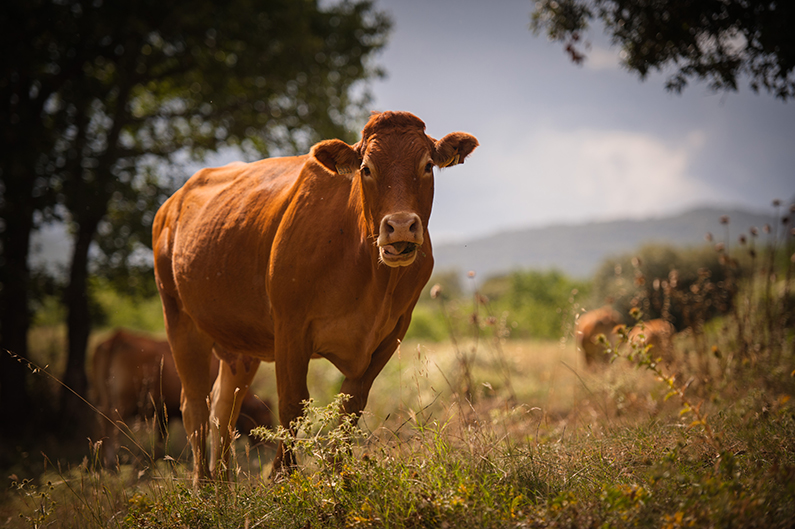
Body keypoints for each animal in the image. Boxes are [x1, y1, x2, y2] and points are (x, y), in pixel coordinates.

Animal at [91, 328, 274, 468]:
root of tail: (118, 336)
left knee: (102, 422)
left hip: (104, 399)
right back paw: (110, 461)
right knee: (111, 424)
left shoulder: (163, 413)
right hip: (123, 403)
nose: (269, 446)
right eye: (264, 416)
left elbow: (162, 436)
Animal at [154, 111, 478, 482]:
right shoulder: (290, 327)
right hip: (178, 317)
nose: (399, 226)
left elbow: (351, 406)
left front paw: (340, 474)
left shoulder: (391, 334)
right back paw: (205, 486)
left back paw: (222, 483)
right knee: (194, 404)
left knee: (223, 407)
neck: (371, 275)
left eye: (427, 165)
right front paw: (283, 477)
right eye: (366, 168)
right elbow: (292, 402)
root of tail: (172, 204)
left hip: (239, 344)